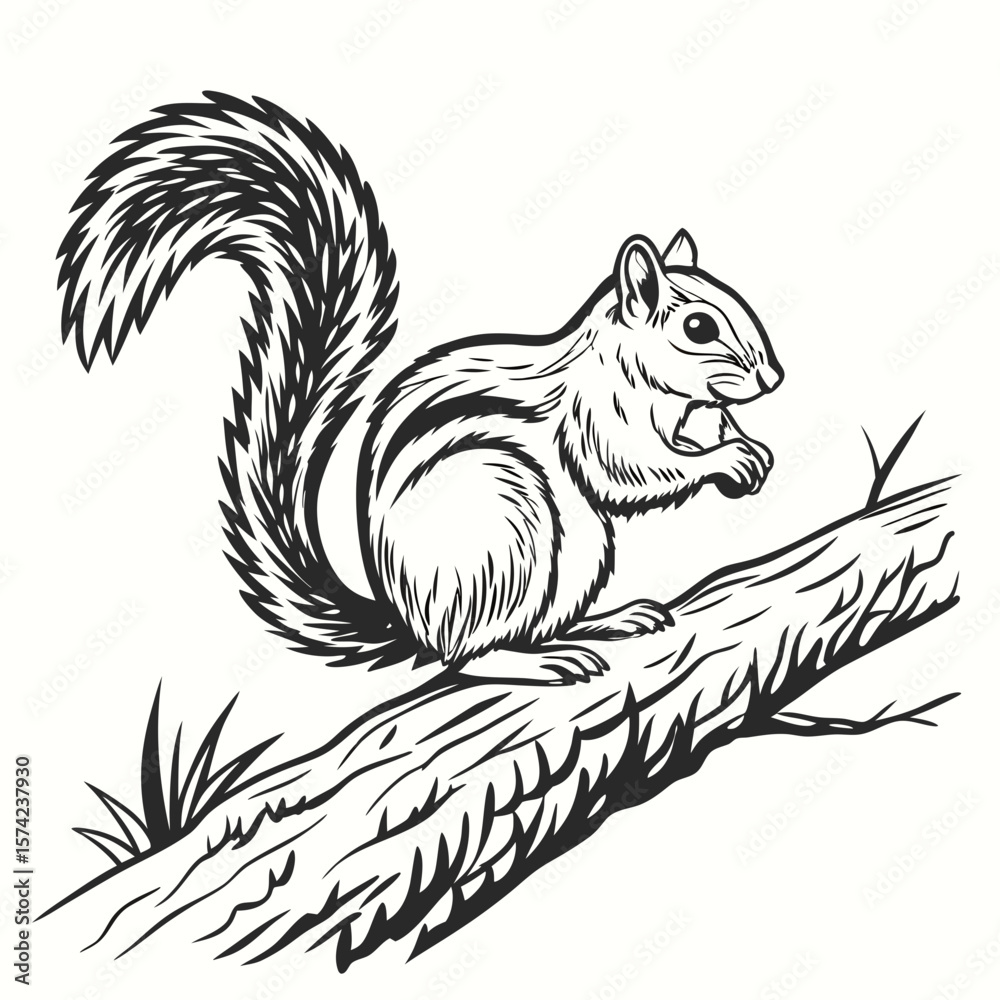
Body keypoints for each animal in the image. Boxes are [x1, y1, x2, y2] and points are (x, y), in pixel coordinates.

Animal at [59, 92, 783, 686]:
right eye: (698, 326)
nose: (774, 378)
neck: (643, 380)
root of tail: (407, 620)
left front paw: (747, 448)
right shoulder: (594, 417)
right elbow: (629, 471)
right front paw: (723, 459)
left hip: (576, 553)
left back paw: (606, 621)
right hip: (507, 520)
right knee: (465, 657)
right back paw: (533, 660)